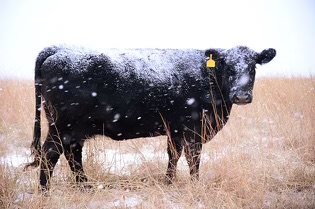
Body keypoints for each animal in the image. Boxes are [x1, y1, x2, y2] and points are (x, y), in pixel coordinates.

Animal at [24, 45, 276, 190]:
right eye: (228, 67)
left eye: (252, 67)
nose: (241, 95)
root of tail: (59, 50)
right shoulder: (193, 129)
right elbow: (193, 159)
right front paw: (195, 186)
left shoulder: (175, 129)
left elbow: (173, 155)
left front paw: (169, 182)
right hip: (63, 126)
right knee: (51, 154)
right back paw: (46, 192)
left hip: (74, 129)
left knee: (72, 154)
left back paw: (85, 187)